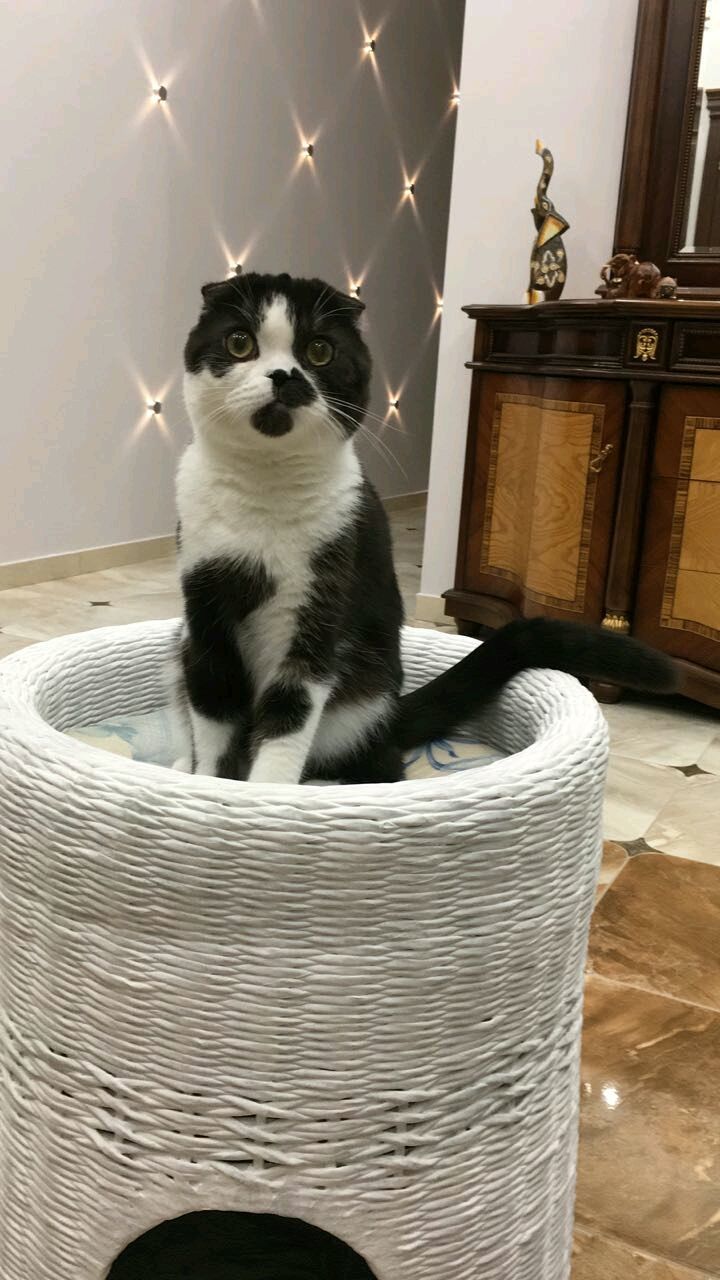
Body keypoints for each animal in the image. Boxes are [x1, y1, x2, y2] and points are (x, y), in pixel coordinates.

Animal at [173, 270, 678, 786]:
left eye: (319, 351)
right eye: (239, 342)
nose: (283, 375)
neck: (265, 482)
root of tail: (392, 712)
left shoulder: (317, 605)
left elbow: (289, 711)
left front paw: (268, 793)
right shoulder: (204, 606)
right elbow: (212, 705)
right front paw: (207, 784)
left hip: (361, 703)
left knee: (380, 763)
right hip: (183, 644)